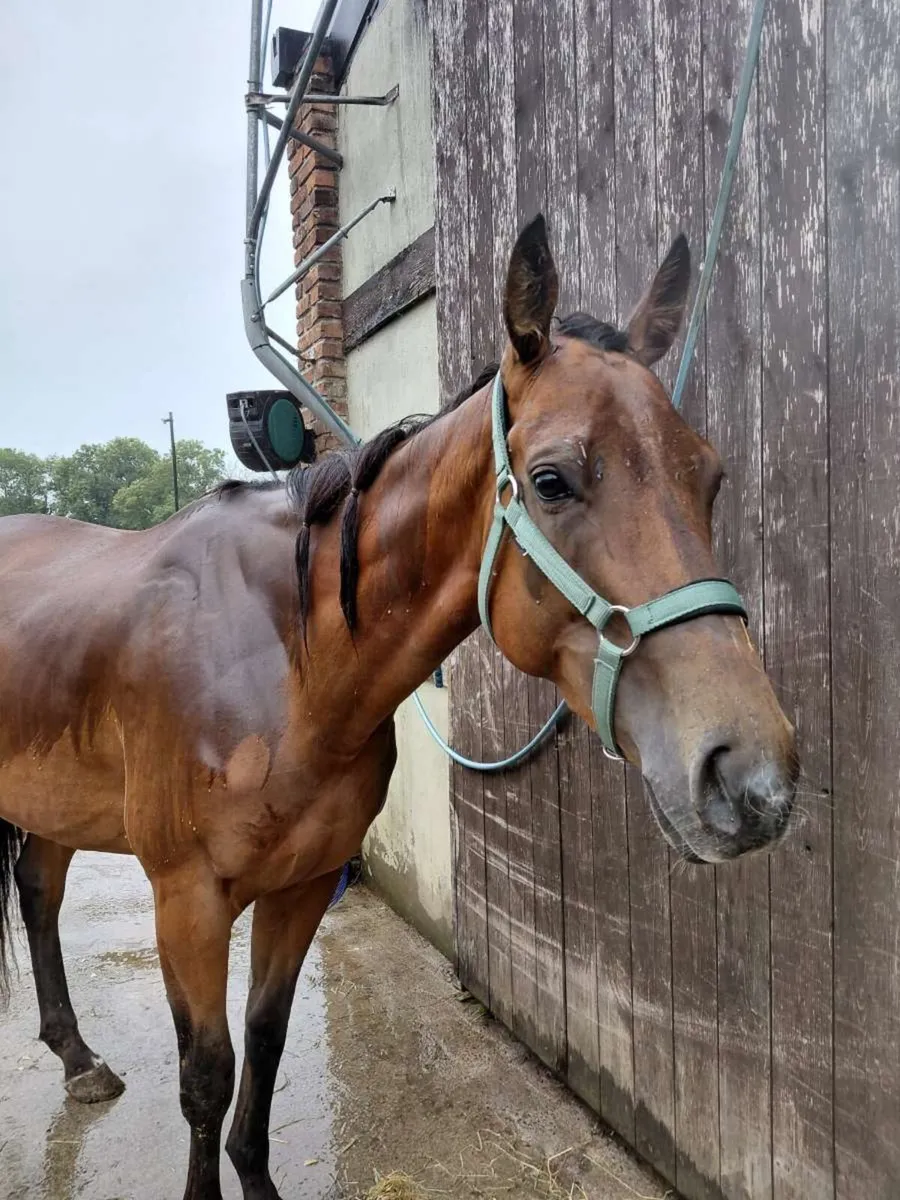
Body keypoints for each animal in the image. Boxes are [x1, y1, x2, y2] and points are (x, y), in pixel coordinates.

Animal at [0, 215, 797, 1200]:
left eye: (710, 477)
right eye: (552, 480)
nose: (752, 777)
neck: (286, 662)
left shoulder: (305, 883)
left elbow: (264, 1044)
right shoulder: (186, 898)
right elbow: (206, 1076)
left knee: (38, 894)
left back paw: (77, 1059)